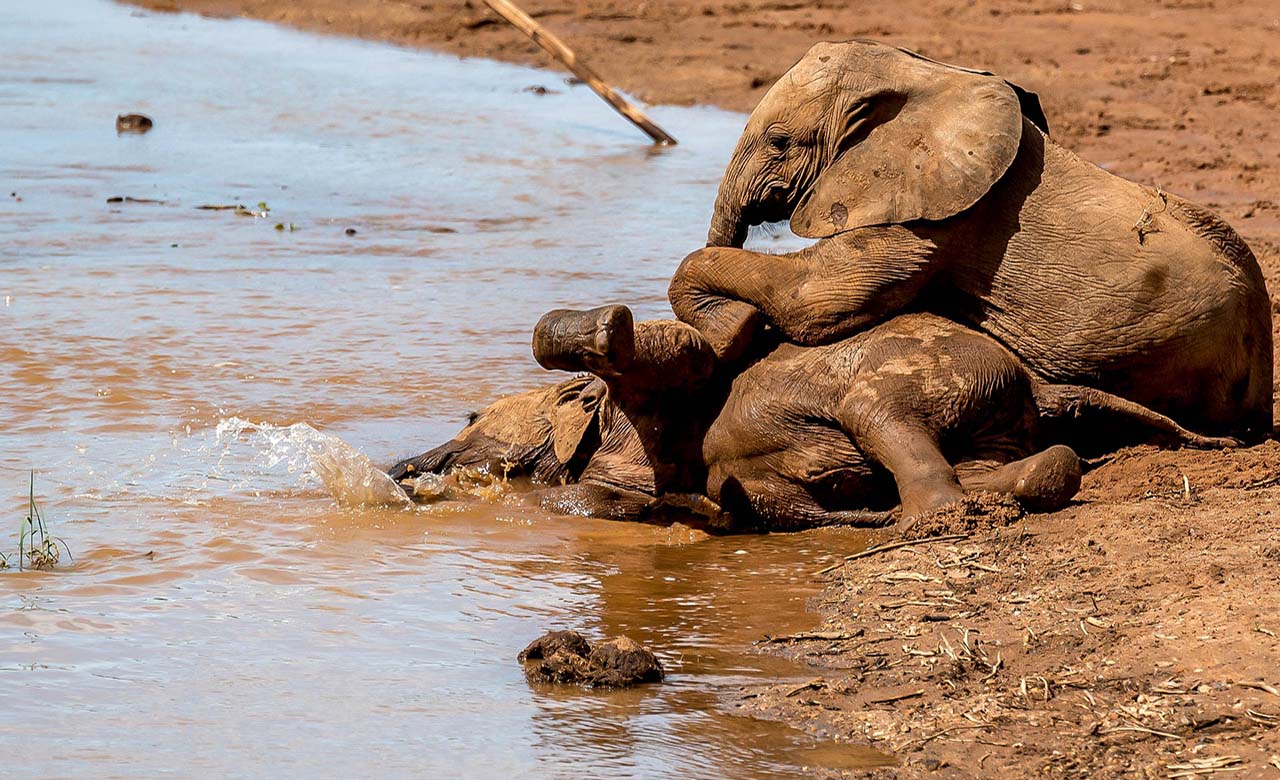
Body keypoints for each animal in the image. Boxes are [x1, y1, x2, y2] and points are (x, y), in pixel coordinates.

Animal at [389, 304, 1228, 530]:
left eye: (471, 418)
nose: (401, 468)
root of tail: (1032, 380)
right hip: (992, 418)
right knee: (1017, 464)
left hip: (912, 378)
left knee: (886, 423)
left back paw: (926, 523)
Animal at [670, 40, 1269, 438]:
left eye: (779, 142)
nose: (731, 338)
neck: (931, 75)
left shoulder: (944, 215)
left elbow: (820, 300)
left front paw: (738, 326)